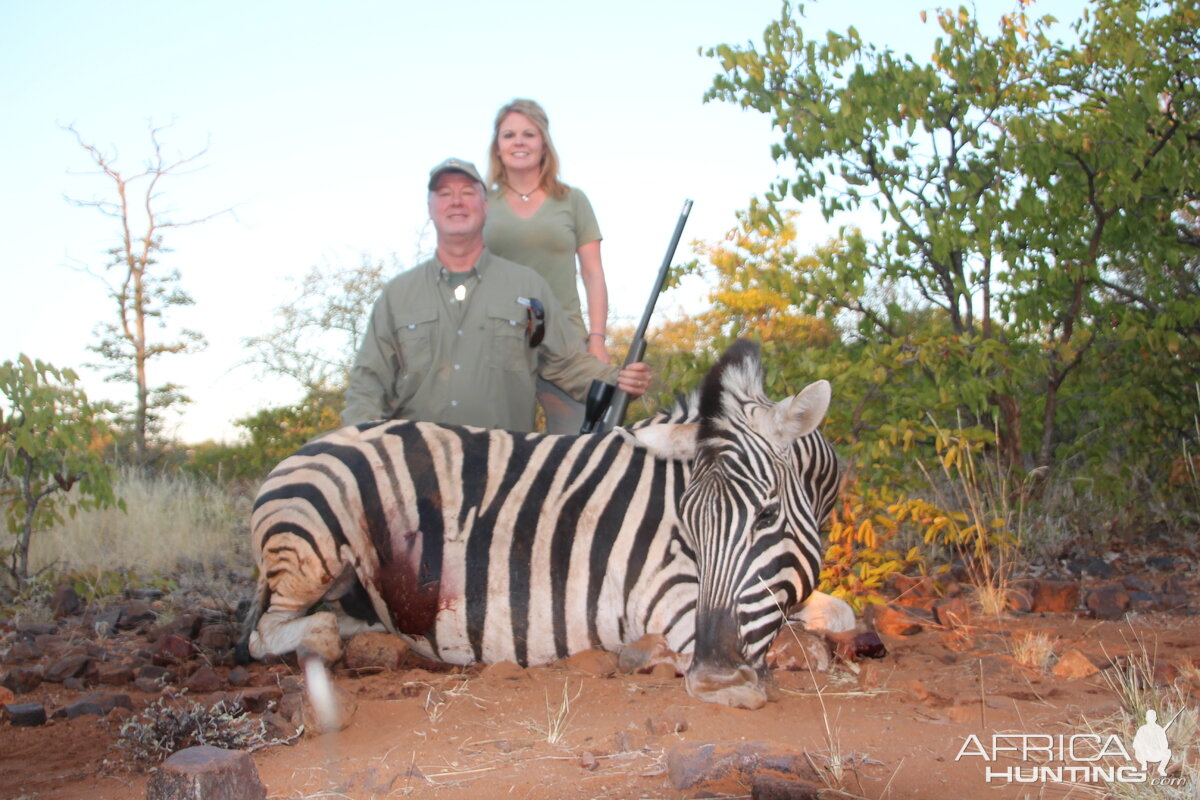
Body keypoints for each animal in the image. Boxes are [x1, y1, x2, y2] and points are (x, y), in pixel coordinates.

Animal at [238, 340, 840, 710]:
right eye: (686, 531)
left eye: (767, 516)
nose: (718, 681)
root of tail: (304, 449)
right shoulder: (668, 597)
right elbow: (802, 645)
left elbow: (826, 619)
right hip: (310, 541)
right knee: (275, 631)